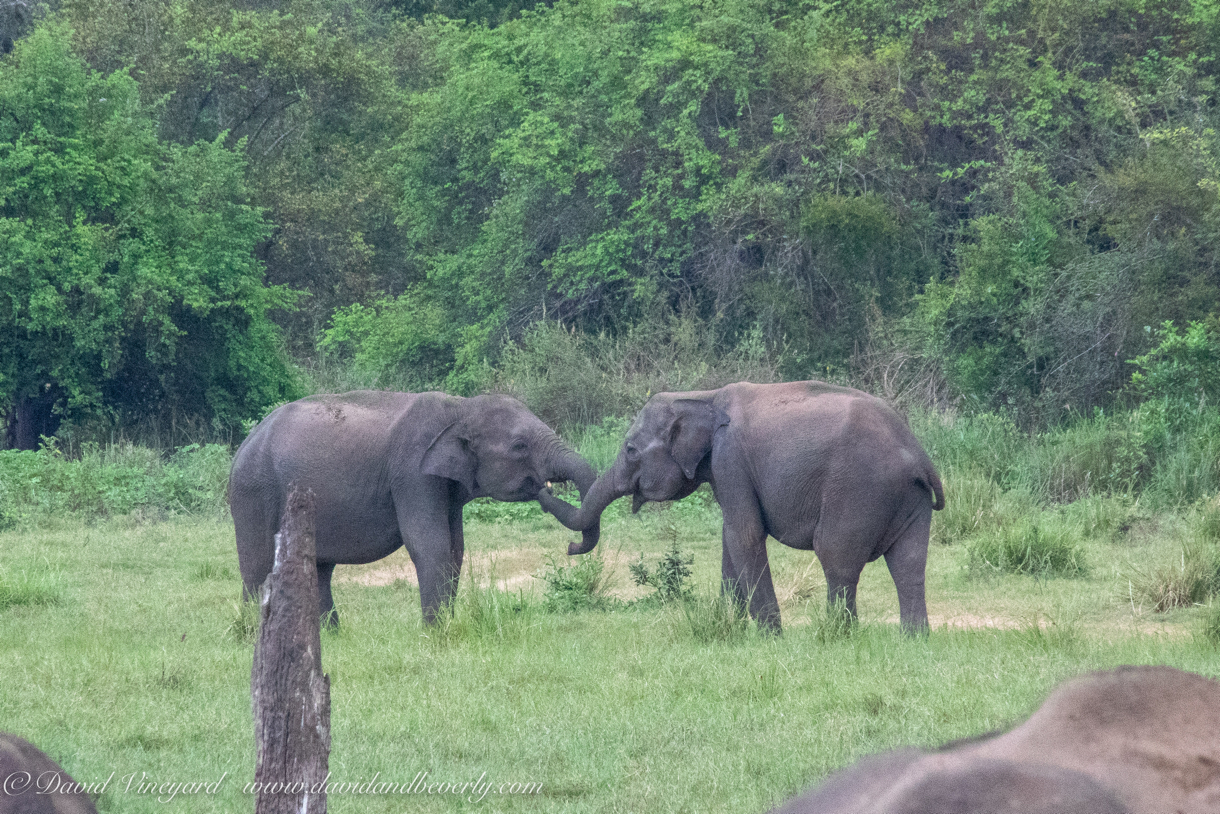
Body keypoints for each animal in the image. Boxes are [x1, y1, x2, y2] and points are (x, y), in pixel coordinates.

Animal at [230, 390, 597, 629]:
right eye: (520, 446)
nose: (571, 546)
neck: (460, 408)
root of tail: (245, 443)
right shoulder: (412, 474)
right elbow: (429, 544)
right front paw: (435, 633)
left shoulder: (443, 485)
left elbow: (455, 548)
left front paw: (445, 625)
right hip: (254, 491)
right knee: (258, 565)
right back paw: (252, 634)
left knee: (317, 568)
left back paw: (329, 635)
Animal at [539, 378, 946, 634]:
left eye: (630, 450)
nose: (570, 548)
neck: (703, 395)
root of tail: (920, 456)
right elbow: (729, 539)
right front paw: (726, 626)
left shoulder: (730, 459)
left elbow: (744, 535)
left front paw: (770, 637)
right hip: (909, 498)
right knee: (909, 564)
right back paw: (914, 640)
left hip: (857, 489)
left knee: (837, 558)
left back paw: (838, 635)